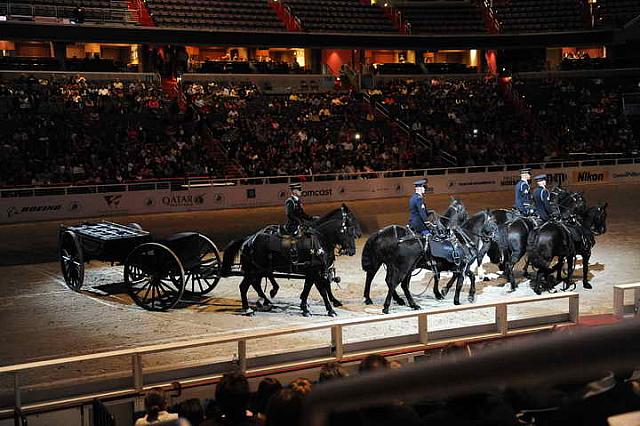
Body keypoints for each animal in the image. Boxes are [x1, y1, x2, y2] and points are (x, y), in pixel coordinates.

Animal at [220, 205, 360, 318]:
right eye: (348, 231)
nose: (352, 251)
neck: (320, 240)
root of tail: (248, 239)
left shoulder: (315, 271)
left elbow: (310, 287)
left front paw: (305, 306)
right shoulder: (316, 271)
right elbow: (322, 289)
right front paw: (330, 310)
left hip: (259, 270)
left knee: (256, 284)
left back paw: (266, 301)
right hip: (252, 270)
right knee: (244, 287)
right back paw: (248, 309)